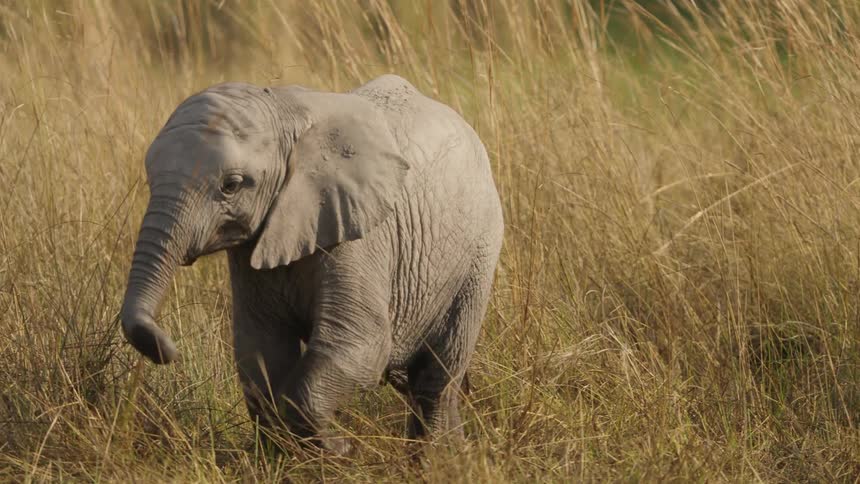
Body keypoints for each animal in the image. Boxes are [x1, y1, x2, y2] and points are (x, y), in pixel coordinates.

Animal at [119, 74, 504, 452]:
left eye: (231, 185)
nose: (168, 351)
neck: (283, 109)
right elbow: (261, 349)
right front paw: (292, 458)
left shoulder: (358, 231)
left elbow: (361, 343)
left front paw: (339, 450)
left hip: (479, 255)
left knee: (436, 379)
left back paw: (439, 460)